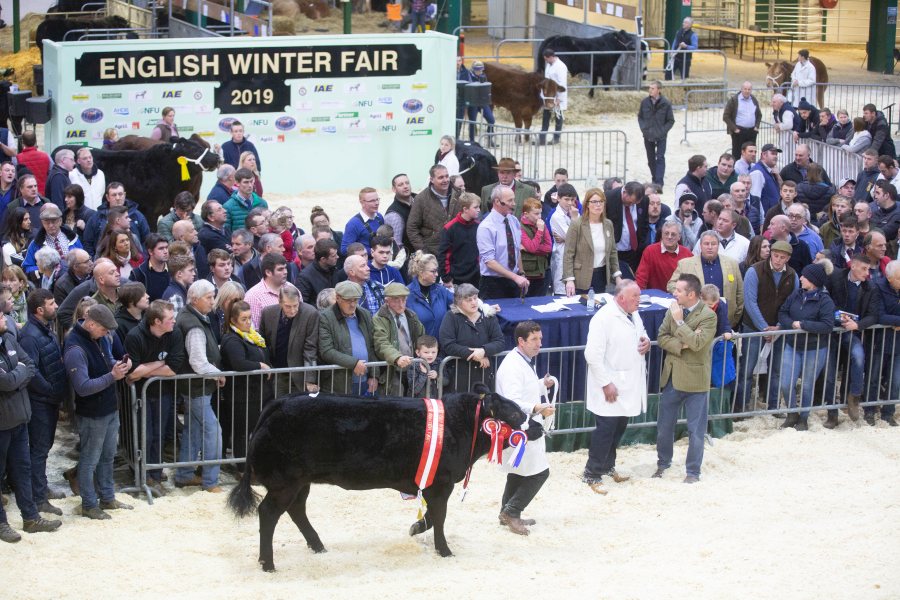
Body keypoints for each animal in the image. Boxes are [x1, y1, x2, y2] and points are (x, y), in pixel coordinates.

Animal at [229, 384, 544, 572]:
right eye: (515, 413)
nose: (540, 427)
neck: (461, 423)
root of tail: (278, 403)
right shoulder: (440, 483)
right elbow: (439, 517)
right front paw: (444, 550)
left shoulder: (431, 484)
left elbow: (432, 517)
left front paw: (416, 529)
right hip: (285, 481)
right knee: (269, 513)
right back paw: (267, 563)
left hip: (301, 481)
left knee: (297, 510)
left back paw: (317, 546)